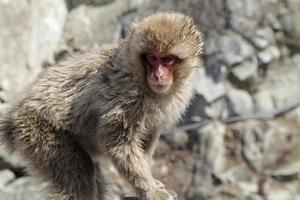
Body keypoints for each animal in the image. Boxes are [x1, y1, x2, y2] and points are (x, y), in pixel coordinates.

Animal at [0, 11, 204, 199]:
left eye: (168, 59)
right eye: (152, 58)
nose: (158, 75)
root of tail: (15, 113)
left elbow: (148, 135)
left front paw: (151, 183)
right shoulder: (128, 96)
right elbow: (117, 142)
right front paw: (150, 191)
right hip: (39, 132)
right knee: (78, 175)